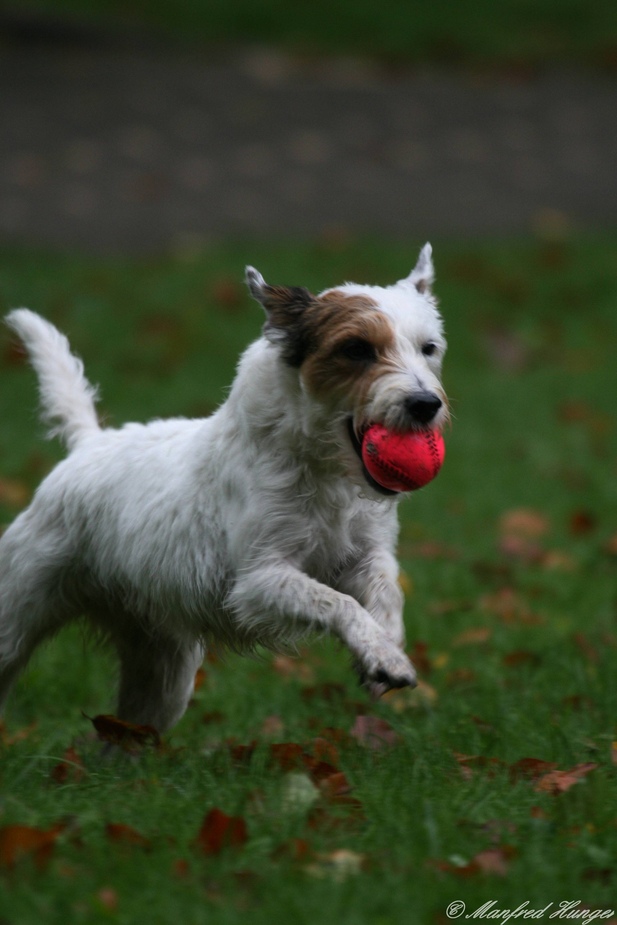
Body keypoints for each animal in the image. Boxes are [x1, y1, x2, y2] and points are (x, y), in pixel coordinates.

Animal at [0, 244, 446, 728]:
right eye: (356, 349)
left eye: (429, 348)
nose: (426, 405)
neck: (324, 470)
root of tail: (89, 444)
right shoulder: (260, 580)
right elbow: (337, 602)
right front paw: (383, 654)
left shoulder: (367, 554)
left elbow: (386, 590)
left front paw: (385, 647)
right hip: (14, 617)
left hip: (162, 673)